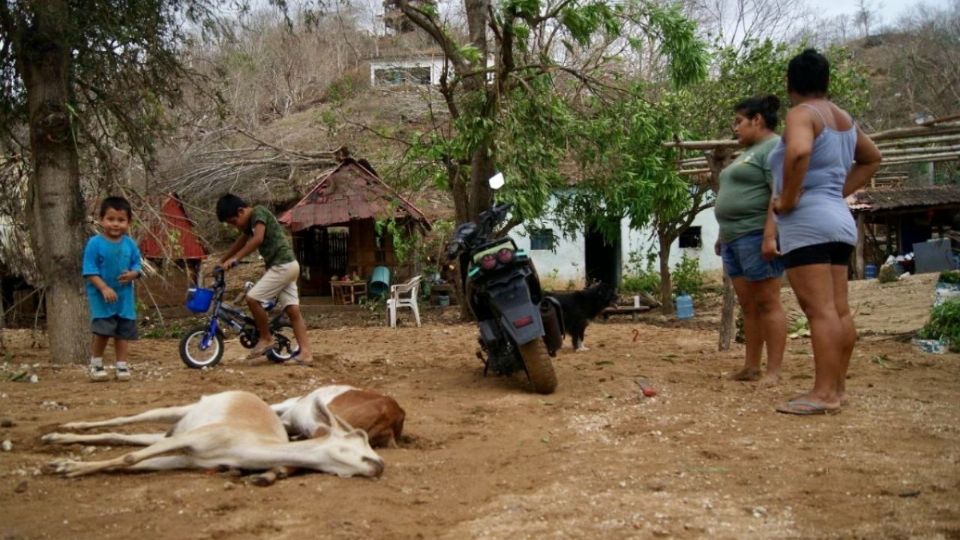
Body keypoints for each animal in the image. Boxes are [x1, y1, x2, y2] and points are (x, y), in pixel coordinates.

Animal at [43, 390, 384, 478]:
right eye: (357, 438)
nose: (380, 464)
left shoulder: (187, 459)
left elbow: (131, 460)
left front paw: (66, 465)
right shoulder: (192, 440)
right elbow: (128, 459)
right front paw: (66, 467)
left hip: (167, 436)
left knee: (125, 436)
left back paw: (56, 440)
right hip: (174, 416)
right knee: (131, 418)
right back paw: (60, 432)